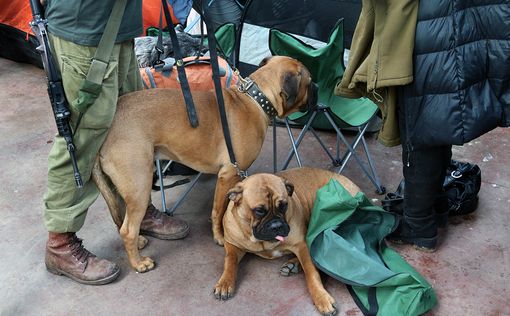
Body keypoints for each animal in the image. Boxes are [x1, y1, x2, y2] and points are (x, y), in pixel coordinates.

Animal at [89, 56, 316, 274]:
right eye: (310, 81)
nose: (317, 88)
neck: (256, 98)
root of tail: (108, 127)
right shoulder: (228, 174)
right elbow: (218, 210)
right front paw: (219, 236)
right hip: (140, 187)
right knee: (127, 230)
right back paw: (138, 263)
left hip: (125, 187)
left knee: (122, 220)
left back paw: (139, 242)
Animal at [213, 167, 360, 314]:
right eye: (259, 210)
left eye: (284, 205)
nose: (276, 225)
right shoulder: (232, 244)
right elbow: (230, 261)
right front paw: (225, 282)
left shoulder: (301, 245)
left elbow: (311, 272)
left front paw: (321, 297)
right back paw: (293, 266)